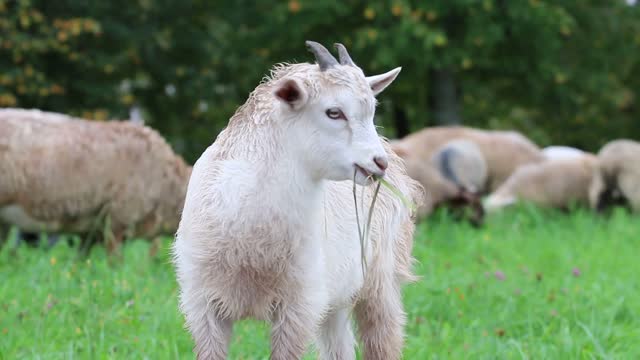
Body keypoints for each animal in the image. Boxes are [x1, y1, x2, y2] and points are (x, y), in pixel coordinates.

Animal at [171, 40, 424, 360]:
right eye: (333, 112)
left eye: (372, 111)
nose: (379, 163)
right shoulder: (202, 305)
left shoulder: (299, 305)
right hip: (336, 297)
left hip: (381, 280)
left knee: (382, 338)